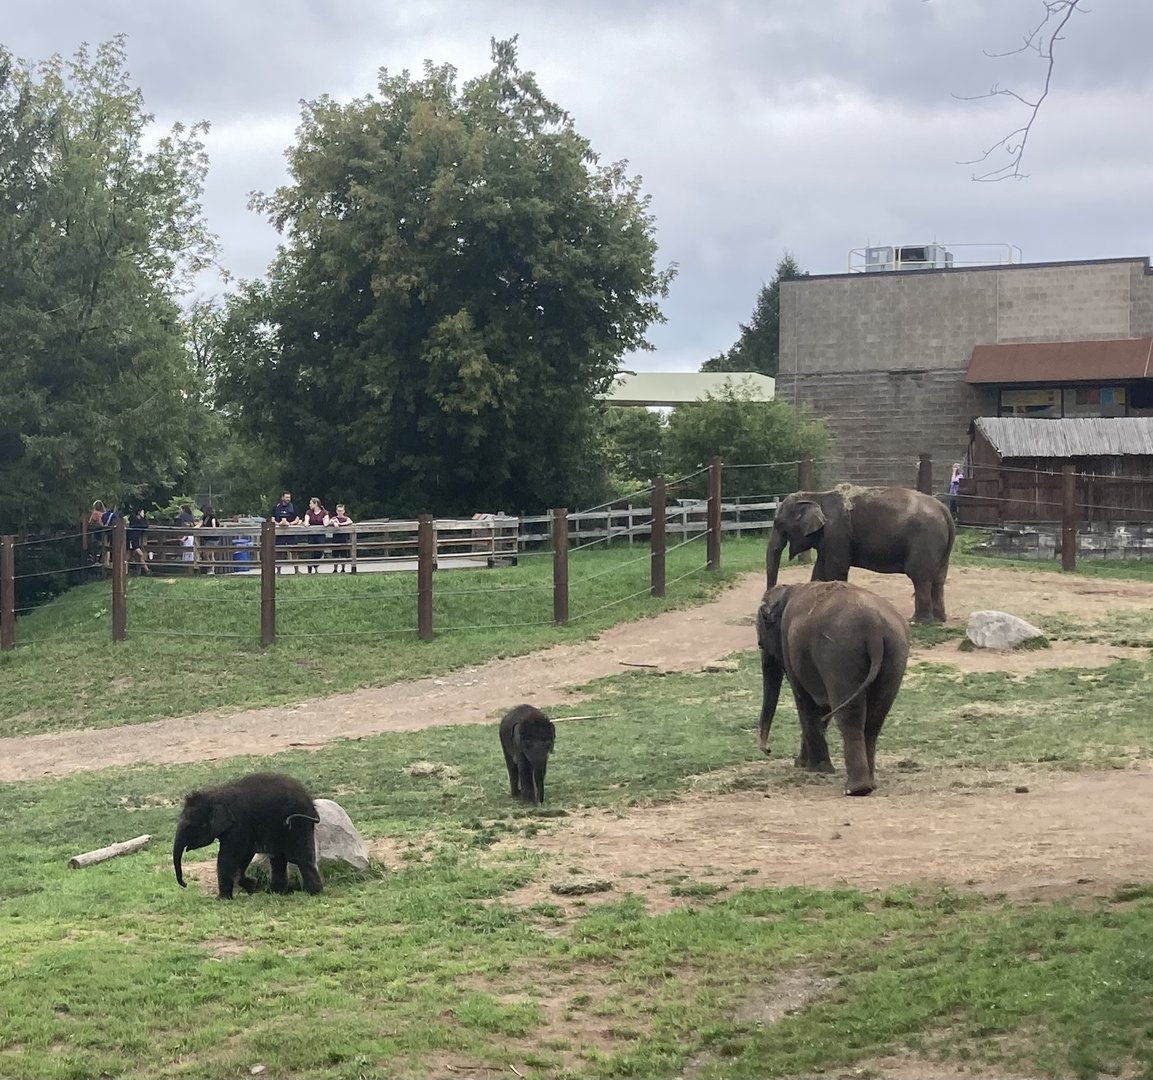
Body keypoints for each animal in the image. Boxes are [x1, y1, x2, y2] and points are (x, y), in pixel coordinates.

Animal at [173, 772, 323, 899]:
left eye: (189, 827)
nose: (185, 884)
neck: (215, 794)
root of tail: (311, 802)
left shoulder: (238, 825)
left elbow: (228, 857)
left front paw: (222, 899)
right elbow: (245, 854)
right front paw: (251, 885)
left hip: (299, 823)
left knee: (299, 857)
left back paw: (313, 893)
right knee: (278, 859)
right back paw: (274, 893)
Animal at [756, 580, 909, 796]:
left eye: (761, 642)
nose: (768, 750)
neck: (790, 588)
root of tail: (875, 629)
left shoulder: (789, 645)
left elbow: (804, 700)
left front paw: (815, 768)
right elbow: (822, 707)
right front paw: (804, 764)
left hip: (840, 655)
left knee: (849, 716)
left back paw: (855, 789)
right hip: (895, 653)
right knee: (875, 719)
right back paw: (869, 785)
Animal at [765, 485, 954, 623]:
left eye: (778, 523)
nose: (767, 610)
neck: (816, 496)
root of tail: (944, 510)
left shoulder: (837, 532)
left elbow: (836, 568)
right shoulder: (828, 538)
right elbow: (819, 570)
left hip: (925, 539)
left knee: (920, 577)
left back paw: (918, 621)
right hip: (940, 545)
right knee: (938, 578)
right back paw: (939, 619)